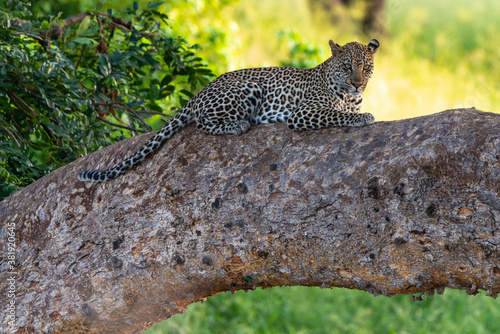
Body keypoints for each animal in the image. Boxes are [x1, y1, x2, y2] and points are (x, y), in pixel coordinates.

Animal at [77, 38, 378, 183]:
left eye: (365, 67)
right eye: (347, 66)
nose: (358, 83)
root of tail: (201, 90)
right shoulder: (302, 113)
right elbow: (336, 113)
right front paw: (364, 117)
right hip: (248, 88)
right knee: (203, 122)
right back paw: (238, 125)